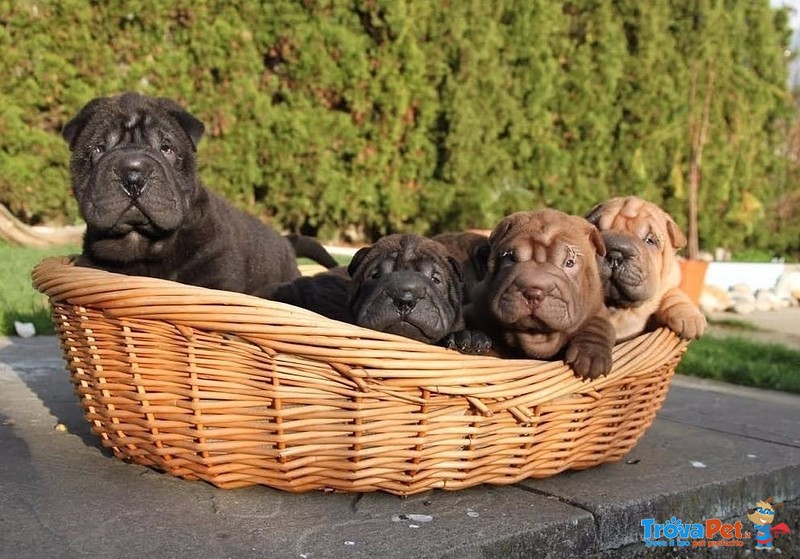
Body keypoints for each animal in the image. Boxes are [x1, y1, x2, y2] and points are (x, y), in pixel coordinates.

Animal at [466, 210, 616, 380]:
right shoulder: (477, 307)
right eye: (511, 258)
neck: (536, 335)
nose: (533, 292)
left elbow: (598, 324)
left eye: (570, 262)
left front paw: (591, 355)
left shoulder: (597, 308)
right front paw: (472, 338)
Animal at [580, 195, 708, 344]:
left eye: (650, 241)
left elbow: (673, 294)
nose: (614, 254)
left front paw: (689, 319)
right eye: (595, 231)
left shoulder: (669, 284)